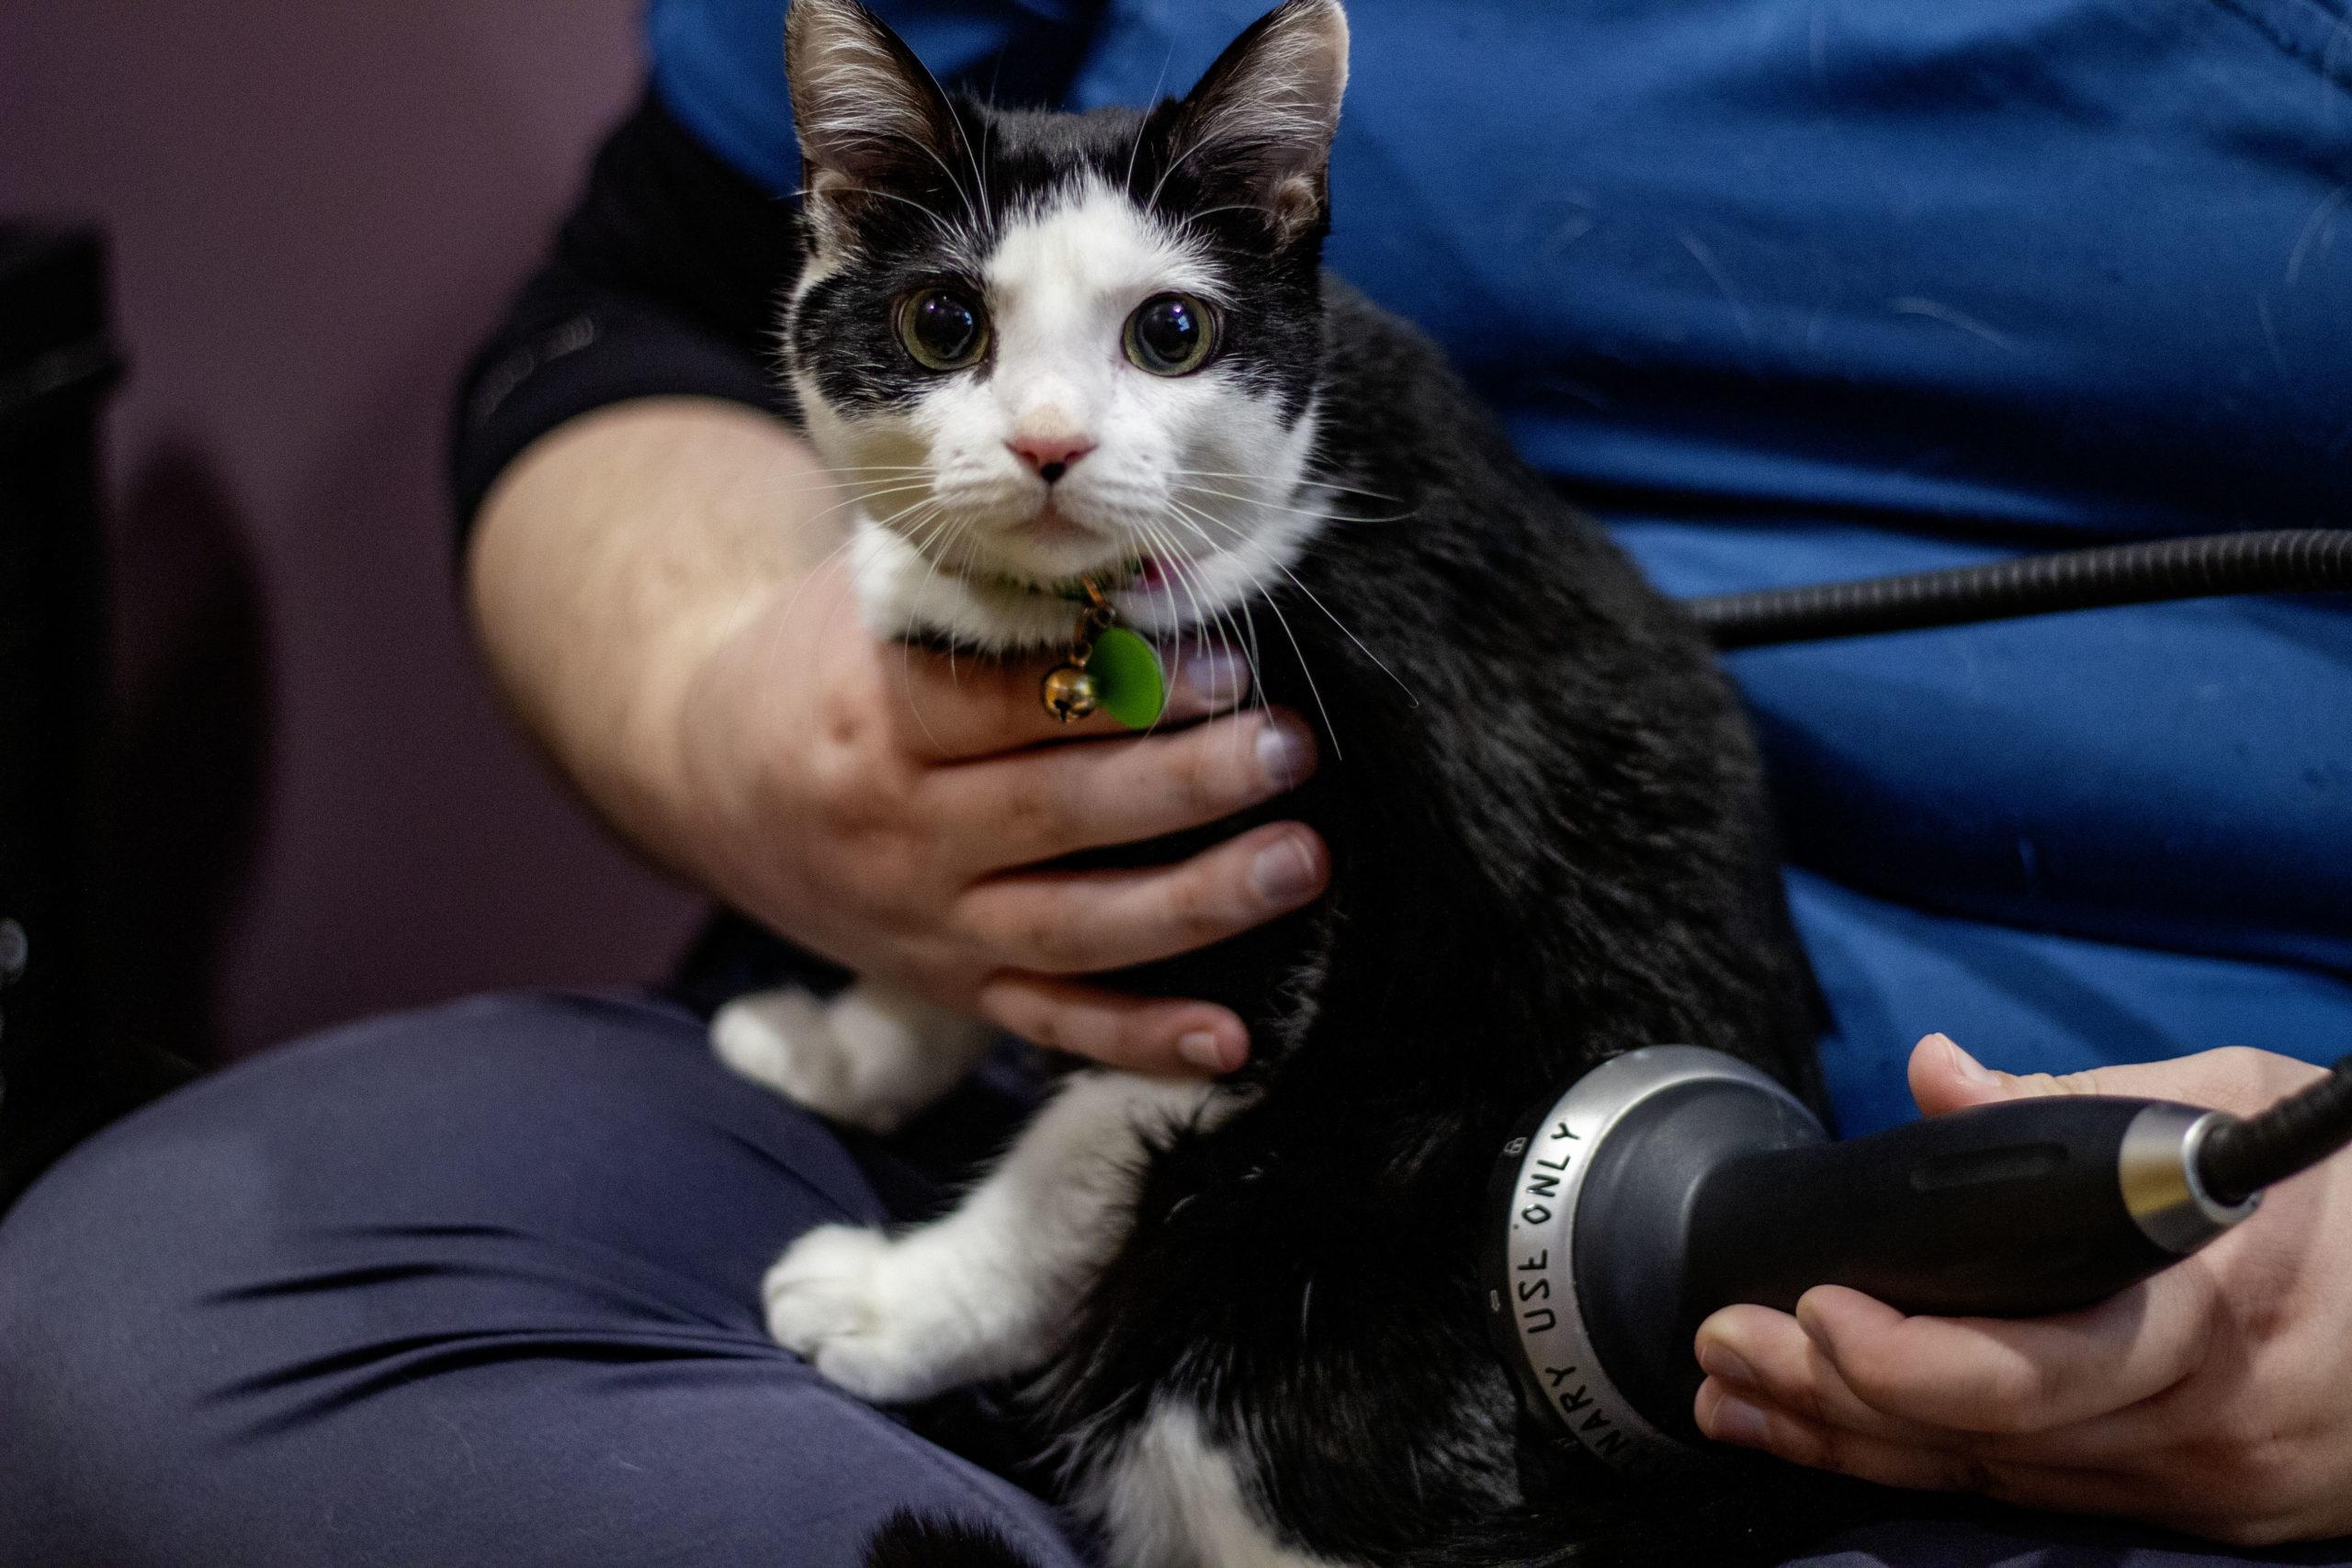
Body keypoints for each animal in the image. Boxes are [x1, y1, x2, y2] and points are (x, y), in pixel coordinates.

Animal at [710, 6, 1815, 1561]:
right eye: (943, 322)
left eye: (1172, 333)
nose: (1049, 443)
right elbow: (948, 953)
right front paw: (844, 1051)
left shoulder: (1273, 908)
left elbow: (1076, 1145)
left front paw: (897, 1300)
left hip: (1313, 1248)